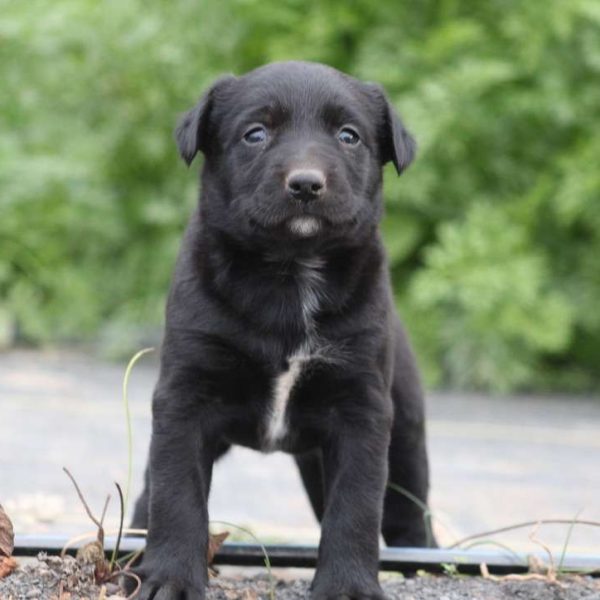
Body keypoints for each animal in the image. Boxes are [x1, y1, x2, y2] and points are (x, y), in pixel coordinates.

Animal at [130, 62, 432, 600]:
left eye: (349, 136)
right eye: (256, 133)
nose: (307, 184)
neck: (290, 273)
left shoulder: (362, 408)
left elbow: (356, 504)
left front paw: (348, 586)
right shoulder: (185, 397)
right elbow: (177, 493)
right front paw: (170, 579)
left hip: (406, 435)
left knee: (407, 513)